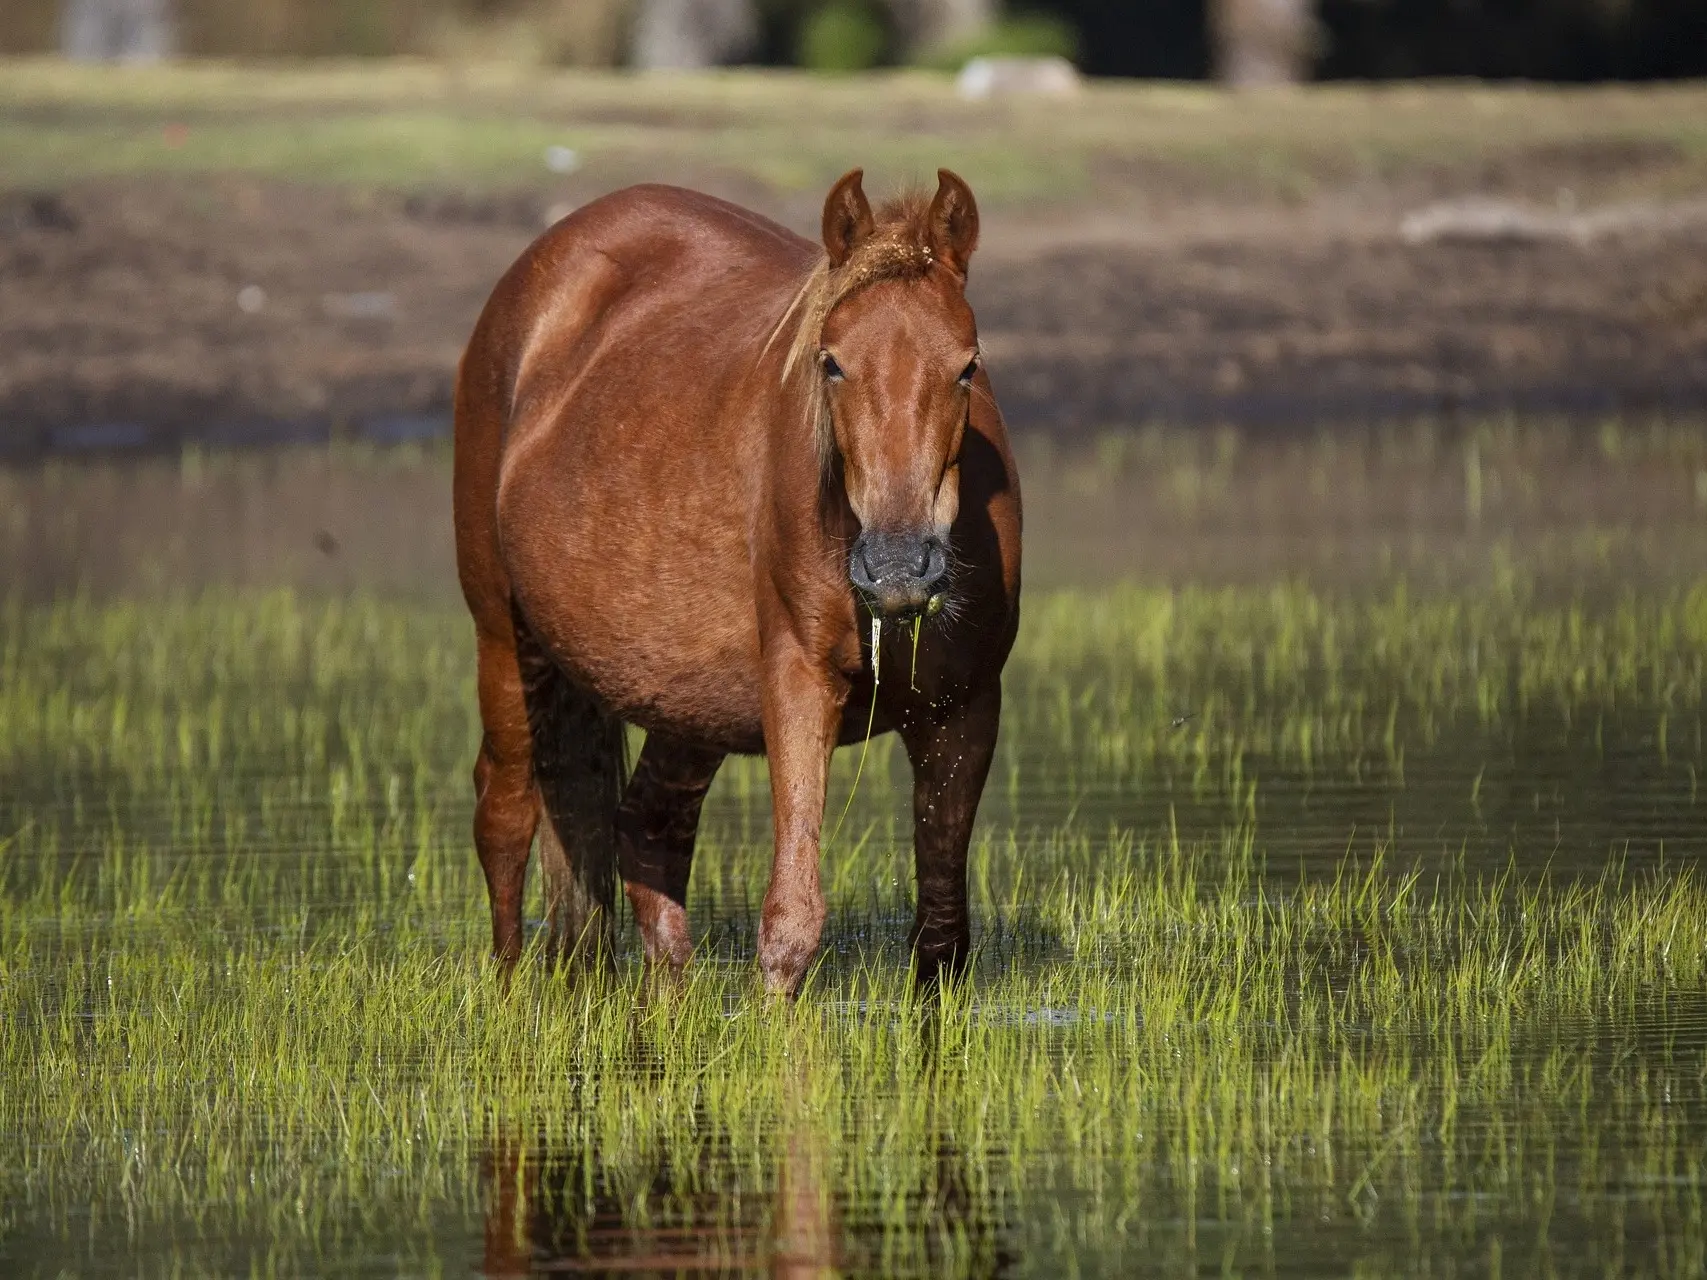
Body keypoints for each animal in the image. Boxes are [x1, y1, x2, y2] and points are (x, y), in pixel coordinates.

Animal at [450, 165, 1010, 996]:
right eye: (831, 361)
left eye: (966, 365)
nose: (898, 566)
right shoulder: (798, 687)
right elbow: (792, 921)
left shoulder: (963, 712)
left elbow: (942, 938)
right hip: (504, 638)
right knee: (505, 814)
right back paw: (509, 993)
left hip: (686, 701)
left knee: (646, 827)